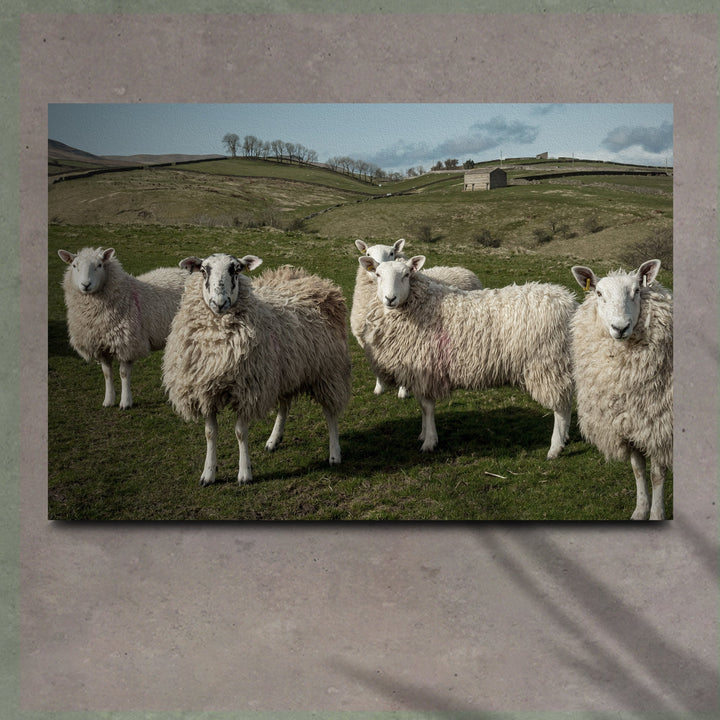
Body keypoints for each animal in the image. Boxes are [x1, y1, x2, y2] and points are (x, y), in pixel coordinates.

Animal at [58, 246, 189, 409]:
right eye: (74, 265)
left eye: (99, 265)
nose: (86, 285)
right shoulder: (102, 346)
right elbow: (107, 374)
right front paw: (108, 400)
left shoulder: (127, 344)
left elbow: (124, 374)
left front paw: (126, 402)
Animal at [161, 253, 352, 486]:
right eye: (204, 270)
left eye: (236, 269)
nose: (219, 303)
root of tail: (309, 277)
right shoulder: (205, 391)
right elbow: (210, 433)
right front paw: (208, 473)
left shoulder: (247, 390)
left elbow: (240, 433)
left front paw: (245, 473)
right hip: (286, 371)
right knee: (284, 406)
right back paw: (273, 440)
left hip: (328, 371)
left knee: (330, 412)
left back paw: (334, 453)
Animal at [351, 238, 483, 398]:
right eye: (368, 254)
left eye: (392, 253)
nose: (390, 298)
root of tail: (462, 269)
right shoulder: (371, 340)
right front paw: (379, 388)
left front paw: (403, 391)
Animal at [358, 255, 576, 459]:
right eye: (378, 274)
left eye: (406, 274)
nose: (390, 298)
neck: (422, 305)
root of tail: (568, 301)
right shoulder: (419, 372)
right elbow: (421, 406)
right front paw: (423, 434)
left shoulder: (426, 368)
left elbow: (427, 408)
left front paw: (429, 441)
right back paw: (564, 439)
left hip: (548, 364)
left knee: (561, 408)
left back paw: (555, 447)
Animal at [570, 259, 673, 520]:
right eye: (598, 293)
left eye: (636, 290)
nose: (620, 327)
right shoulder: (628, 425)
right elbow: (638, 469)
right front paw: (640, 510)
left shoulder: (659, 427)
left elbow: (657, 475)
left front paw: (656, 514)